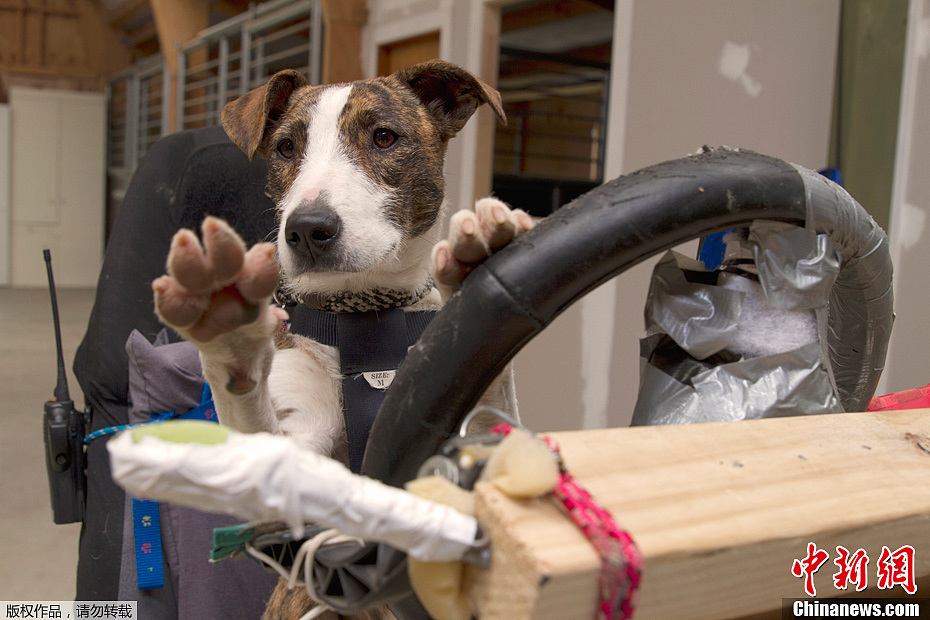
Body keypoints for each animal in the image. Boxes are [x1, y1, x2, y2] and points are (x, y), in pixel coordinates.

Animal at [150, 60, 532, 616]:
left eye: (384, 137)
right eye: (286, 148)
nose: (308, 229)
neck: (362, 319)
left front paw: (477, 260)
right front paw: (231, 328)